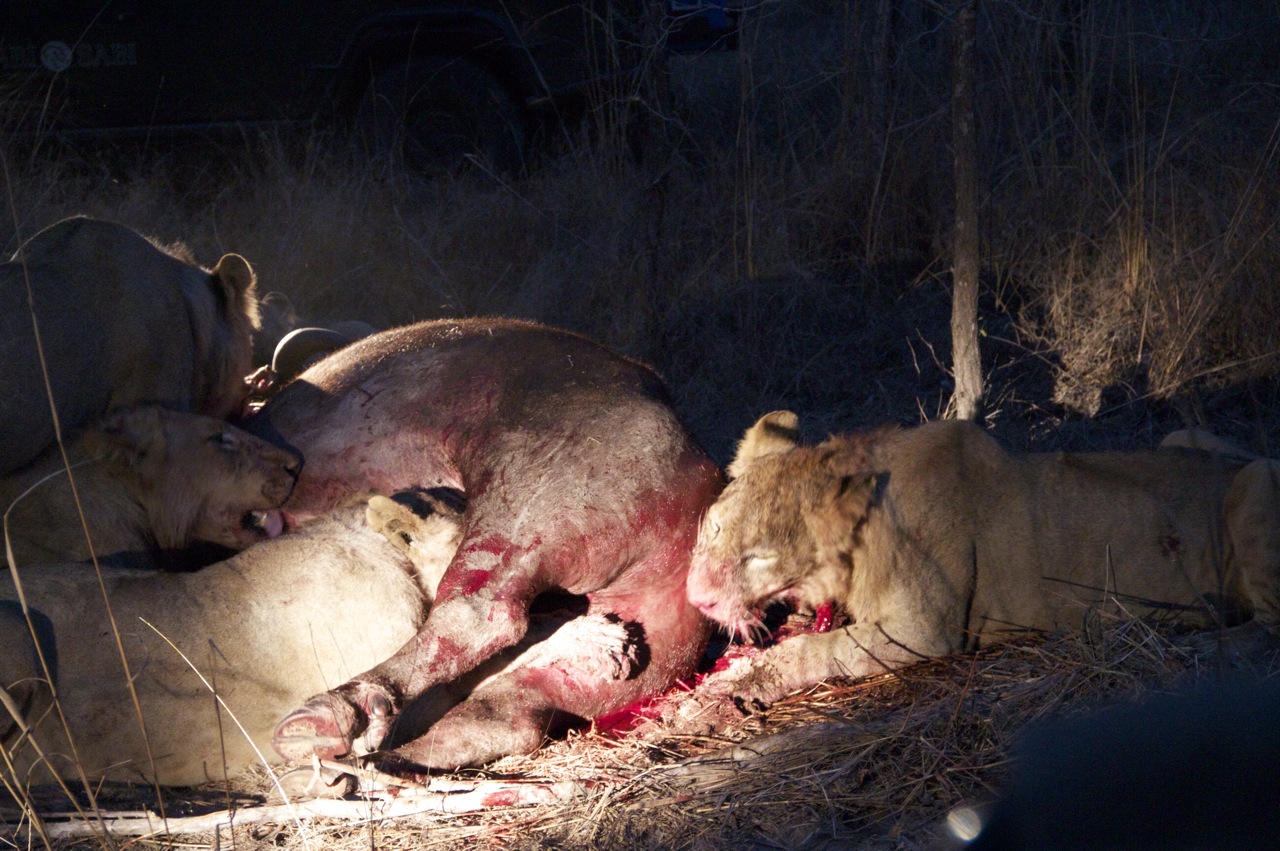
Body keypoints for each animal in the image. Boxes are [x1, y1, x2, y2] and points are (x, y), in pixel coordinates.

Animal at [680, 412, 1280, 721]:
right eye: (714, 528)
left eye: (758, 556)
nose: (696, 598)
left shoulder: (925, 631)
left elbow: (816, 650)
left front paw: (738, 684)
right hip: (1185, 437)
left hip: (1255, 483)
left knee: (1266, 631)